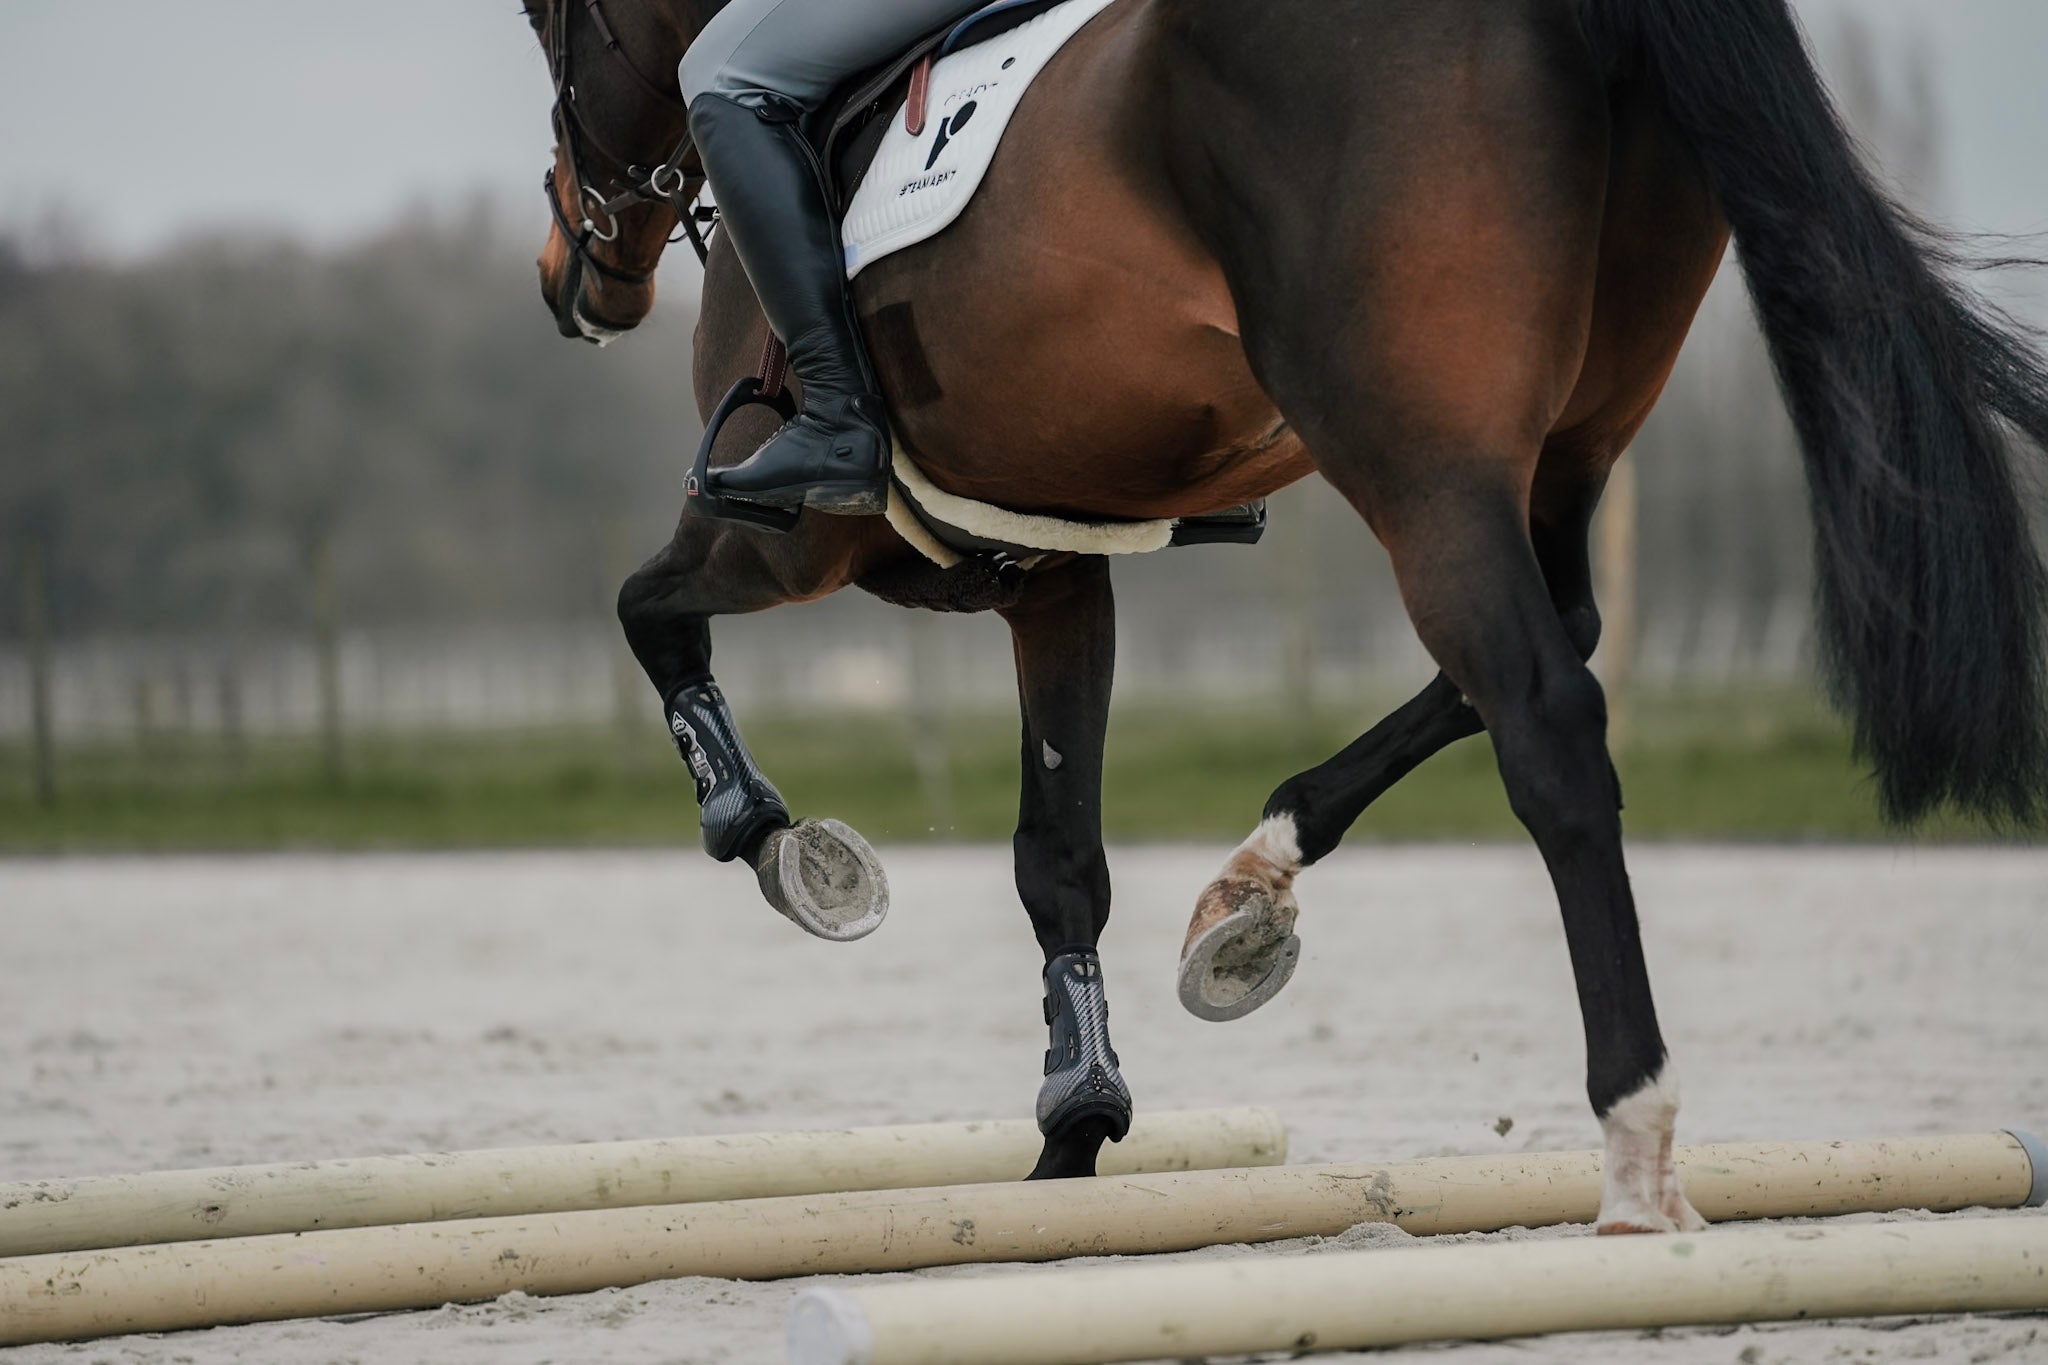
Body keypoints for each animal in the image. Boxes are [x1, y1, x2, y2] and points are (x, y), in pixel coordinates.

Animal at [520, 0, 2048, 1225]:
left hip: (1411, 455)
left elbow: (646, 615)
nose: (571, 279)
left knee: (1545, 716)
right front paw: (1076, 1130)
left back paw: (1634, 1151)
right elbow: (1057, 859)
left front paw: (777, 843)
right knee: (1547, 642)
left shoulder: (783, 537)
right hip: (1562, 441)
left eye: (551, 21)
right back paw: (1250, 890)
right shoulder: (1056, 573)